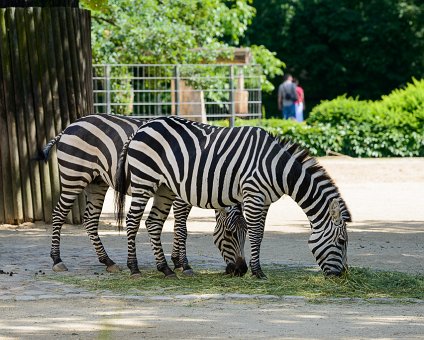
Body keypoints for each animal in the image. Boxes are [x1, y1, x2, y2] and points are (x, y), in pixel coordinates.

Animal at [37, 113, 248, 278]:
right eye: (229, 233)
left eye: (245, 232)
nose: (240, 271)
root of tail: (69, 126)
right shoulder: (182, 196)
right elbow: (182, 229)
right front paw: (184, 264)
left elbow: (176, 227)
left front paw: (176, 261)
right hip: (74, 177)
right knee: (59, 213)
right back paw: (57, 260)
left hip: (97, 182)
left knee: (90, 220)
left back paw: (108, 261)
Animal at [114, 115, 350, 278]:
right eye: (341, 241)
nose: (342, 276)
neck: (277, 168)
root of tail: (143, 127)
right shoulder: (253, 195)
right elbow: (256, 234)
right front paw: (258, 272)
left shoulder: (264, 201)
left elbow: (259, 234)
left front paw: (254, 269)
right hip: (144, 180)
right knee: (132, 220)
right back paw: (134, 268)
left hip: (164, 188)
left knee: (153, 223)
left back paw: (165, 269)